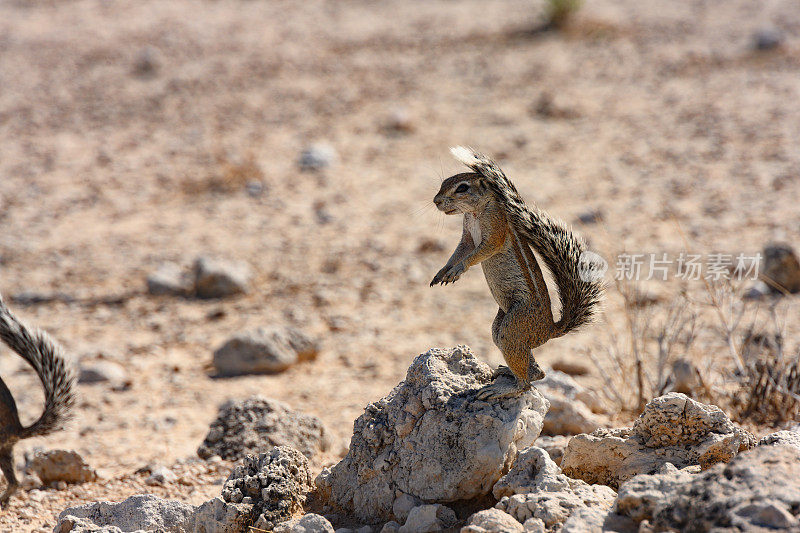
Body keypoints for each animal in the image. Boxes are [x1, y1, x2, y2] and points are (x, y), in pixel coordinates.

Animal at [432, 148, 600, 396]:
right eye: (443, 183)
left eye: (462, 188)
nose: (436, 201)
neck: (474, 213)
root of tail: (550, 330)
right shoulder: (467, 237)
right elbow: (458, 252)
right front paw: (443, 271)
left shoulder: (496, 230)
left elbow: (479, 252)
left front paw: (458, 269)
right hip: (501, 326)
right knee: (536, 371)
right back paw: (510, 372)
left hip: (513, 328)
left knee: (525, 384)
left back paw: (505, 388)